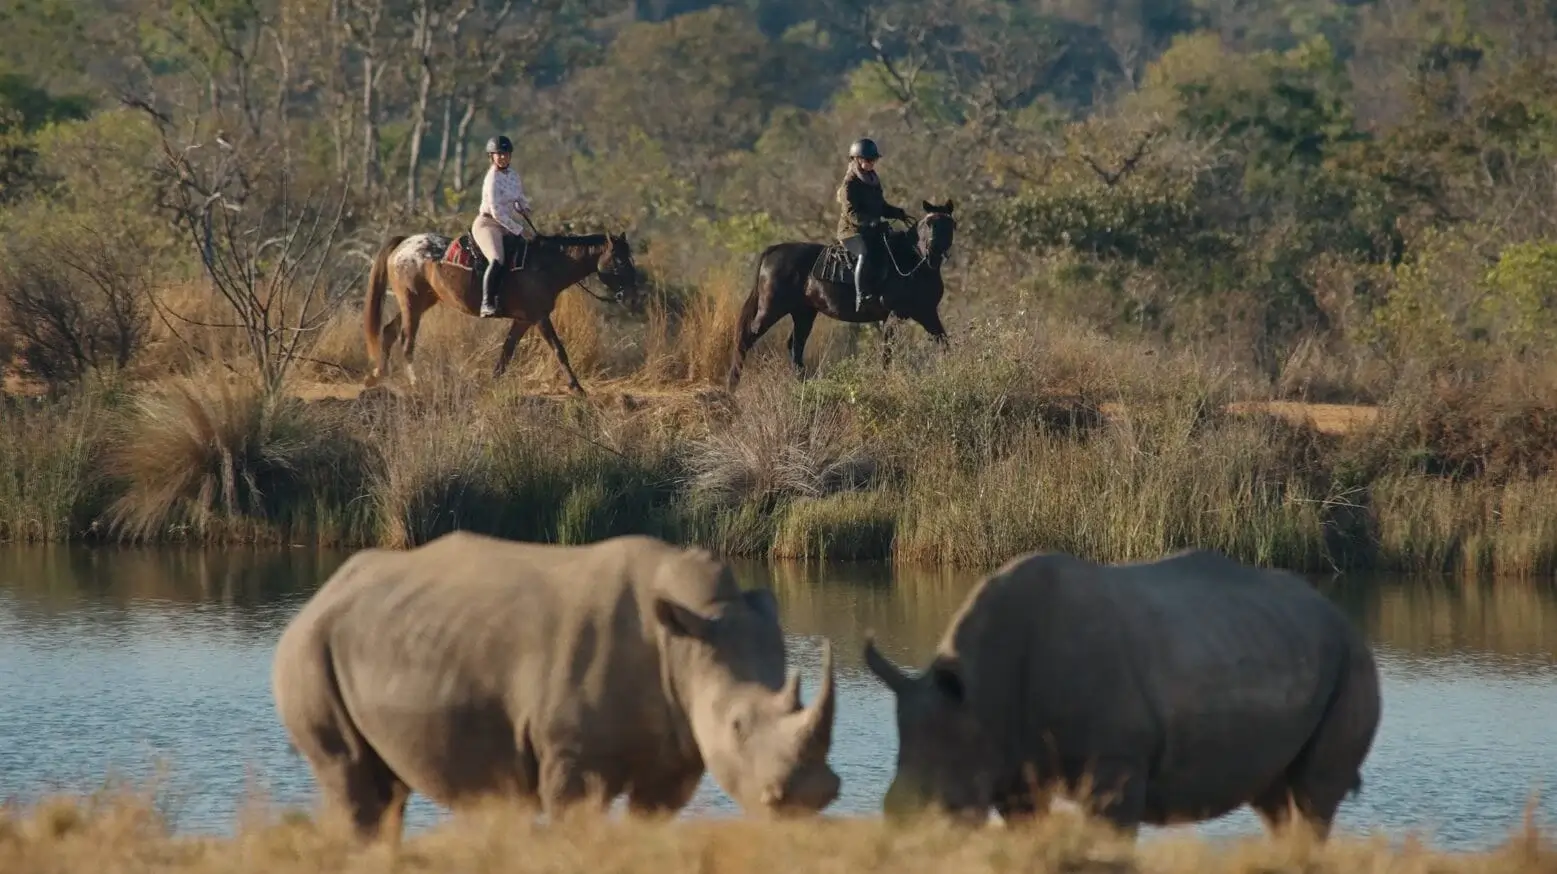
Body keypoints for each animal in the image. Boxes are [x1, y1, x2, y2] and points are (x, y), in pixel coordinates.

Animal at [272, 531, 839, 843]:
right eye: (738, 725)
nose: (808, 800)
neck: (688, 632)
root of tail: (322, 592)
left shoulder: (673, 753)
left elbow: (648, 820)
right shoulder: (571, 756)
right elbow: (578, 818)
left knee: (385, 790)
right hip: (307, 648)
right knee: (349, 777)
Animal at [863, 548, 1380, 839]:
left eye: (943, 804)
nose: (902, 833)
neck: (979, 693)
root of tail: (1340, 616)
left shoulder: (1117, 761)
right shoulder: (1012, 767)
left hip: (1352, 660)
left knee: (1313, 796)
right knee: (1276, 799)